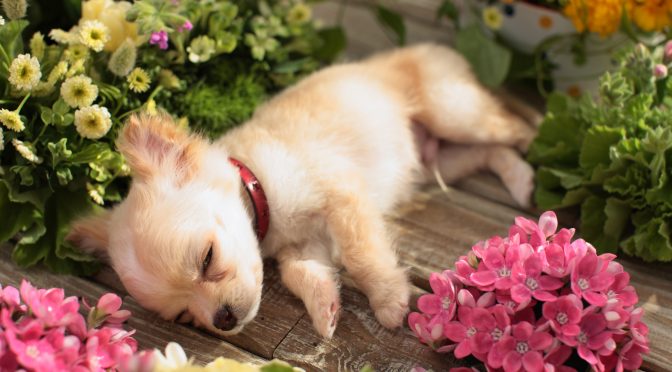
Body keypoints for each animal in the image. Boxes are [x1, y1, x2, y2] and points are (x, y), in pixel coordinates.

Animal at [68, 43, 540, 338]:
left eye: (207, 260)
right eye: (185, 316)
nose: (222, 320)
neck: (262, 188)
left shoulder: (342, 197)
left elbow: (361, 256)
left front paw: (388, 301)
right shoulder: (308, 246)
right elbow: (300, 273)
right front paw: (324, 306)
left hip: (455, 114)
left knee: (513, 129)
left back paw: (541, 148)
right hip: (442, 160)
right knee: (493, 152)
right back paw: (521, 181)